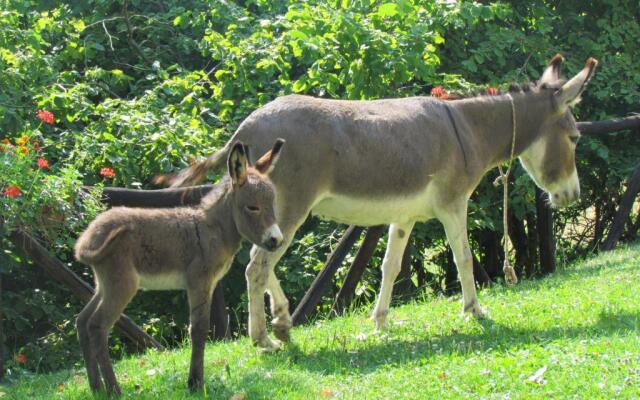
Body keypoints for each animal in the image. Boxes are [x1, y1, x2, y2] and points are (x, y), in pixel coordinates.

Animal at [74, 139, 284, 396]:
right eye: (253, 207)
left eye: (272, 204)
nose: (276, 240)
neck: (214, 228)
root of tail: (88, 238)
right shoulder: (199, 282)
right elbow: (199, 330)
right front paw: (195, 383)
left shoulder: (209, 284)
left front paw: (195, 381)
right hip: (122, 284)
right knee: (97, 326)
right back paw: (114, 390)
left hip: (103, 284)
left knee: (82, 321)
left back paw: (96, 388)